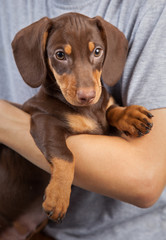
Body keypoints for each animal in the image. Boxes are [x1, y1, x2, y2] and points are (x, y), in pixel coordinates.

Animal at [0, 12, 153, 238]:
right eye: (60, 55)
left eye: (97, 51)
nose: (87, 96)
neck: (87, 110)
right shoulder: (42, 119)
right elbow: (65, 156)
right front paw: (59, 196)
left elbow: (110, 110)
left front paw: (129, 114)